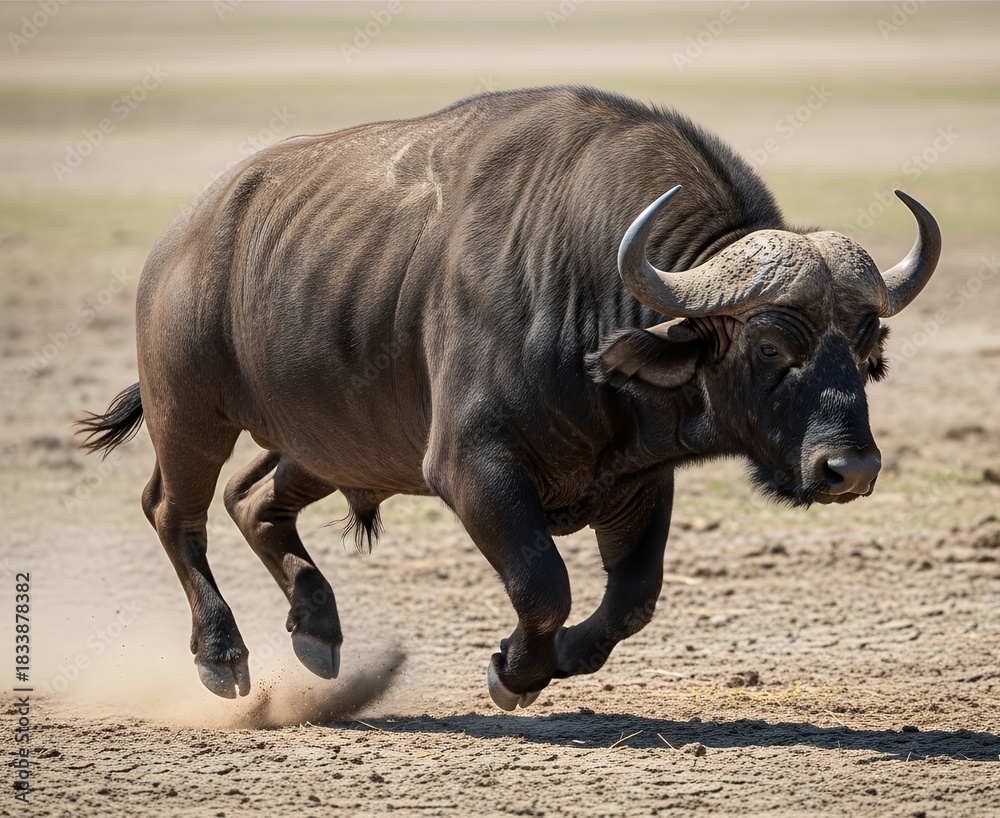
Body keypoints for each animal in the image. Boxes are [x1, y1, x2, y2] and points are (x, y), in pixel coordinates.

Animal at [79, 86, 940, 710]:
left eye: (867, 352)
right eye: (769, 346)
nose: (850, 470)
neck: (588, 289)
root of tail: (182, 239)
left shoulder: (636, 479)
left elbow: (634, 597)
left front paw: (559, 659)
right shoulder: (471, 468)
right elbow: (543, 583)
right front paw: (514, 672)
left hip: (334, 444)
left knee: (251, 500)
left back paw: (318, 631)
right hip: (191, 415)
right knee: (174, 511)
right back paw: (222, 657)